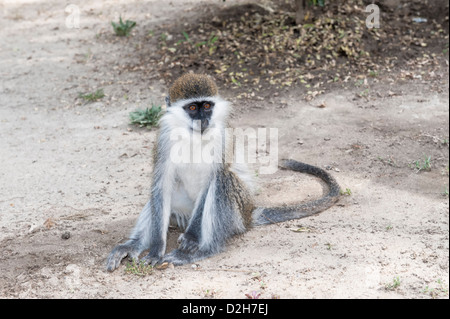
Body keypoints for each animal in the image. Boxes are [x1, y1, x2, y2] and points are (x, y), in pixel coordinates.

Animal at [106, 74, 338, 272]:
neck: (194, 136)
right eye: (192, 107)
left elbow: (213, 178)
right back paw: (132, 246)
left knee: (222, 180)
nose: (203, 120)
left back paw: (203, 250)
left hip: (237, 211)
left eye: (207, 106)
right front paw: (155, 249)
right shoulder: (163, 139)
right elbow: (161, 185)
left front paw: (191, 239)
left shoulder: (223, 136)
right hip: (181, 212)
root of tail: (249, 213)